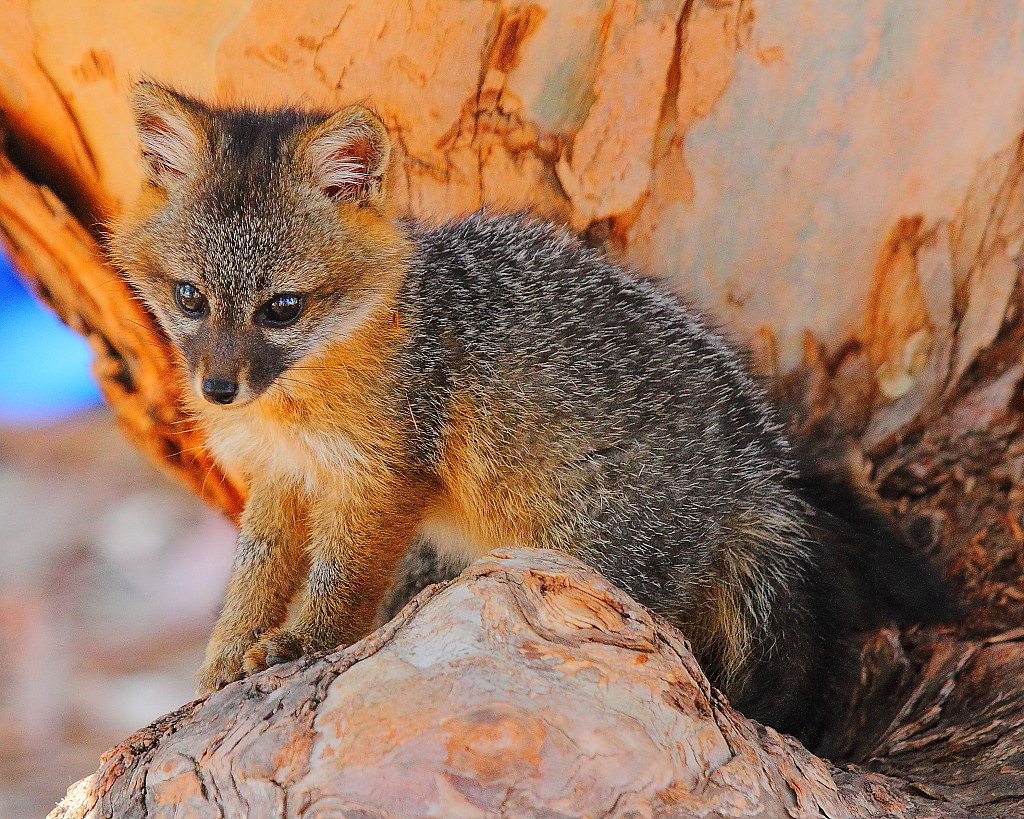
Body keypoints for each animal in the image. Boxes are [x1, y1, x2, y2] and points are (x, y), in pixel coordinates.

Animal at [110, 82, 954, 746]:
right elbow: (253, 580)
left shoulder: (383, 477)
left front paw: (302, 645)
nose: (219, 389)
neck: (295, 403)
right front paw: (224, 659)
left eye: (282, 308)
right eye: (190, 297)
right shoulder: (285, 479)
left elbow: (341, 580)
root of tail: (758, 470)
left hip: (580, 557)